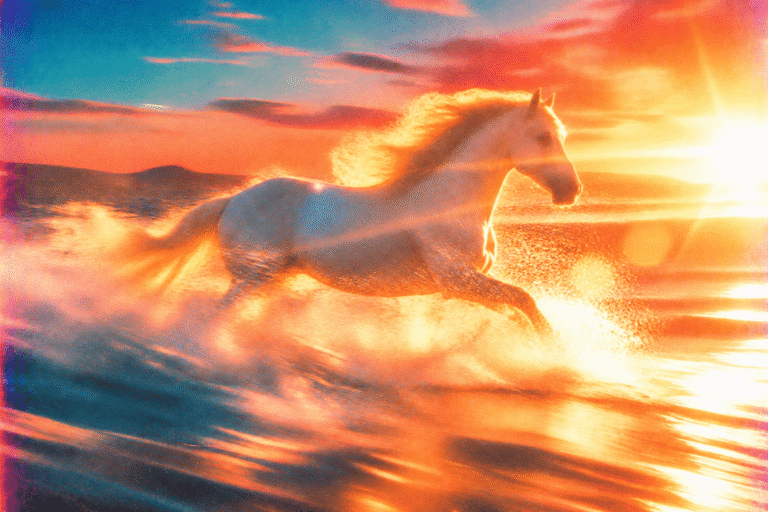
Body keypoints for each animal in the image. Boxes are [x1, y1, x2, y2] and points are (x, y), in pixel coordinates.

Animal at [132, 88, 581, 339]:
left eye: (562, 135)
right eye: (542, 137)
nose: (572, 191)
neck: (448, 200)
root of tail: (233, 200)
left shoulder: (464, 287)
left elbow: (517, 310)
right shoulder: (458, 279)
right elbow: (525, 300)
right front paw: (556, 353)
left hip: (267, 281)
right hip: (253, 278)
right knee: (214, 314)